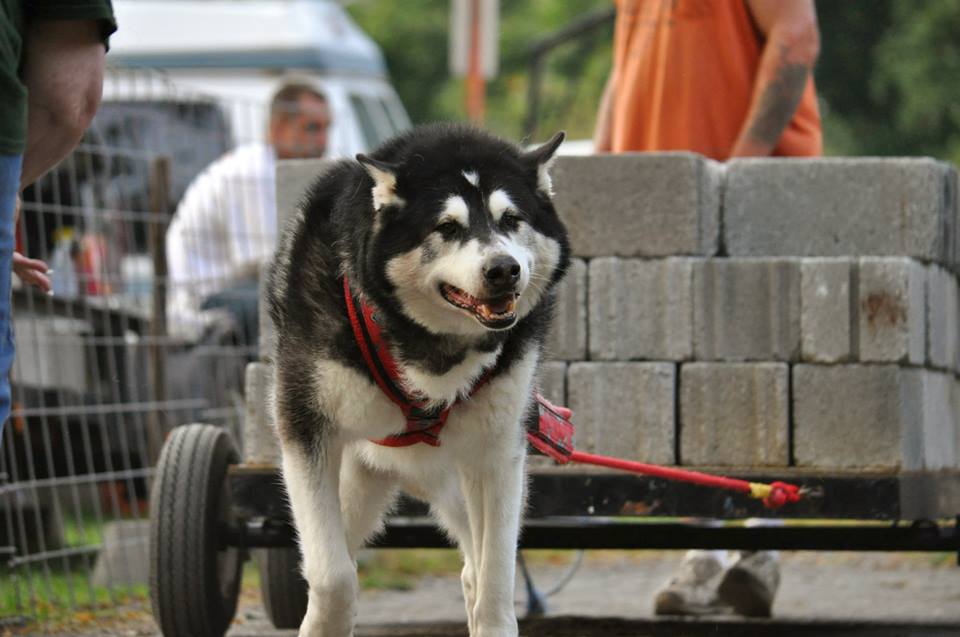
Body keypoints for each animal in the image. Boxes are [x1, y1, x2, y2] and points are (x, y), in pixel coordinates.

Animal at [266, 124, 568, 636]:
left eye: (511, 219)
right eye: (447, 227)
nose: (504, 270)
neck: (434, 351)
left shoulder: (498, 452)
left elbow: (496, 577)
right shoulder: (305, 430)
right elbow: (332, 577)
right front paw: (330, 614)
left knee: (473, 568)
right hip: (357, 481)